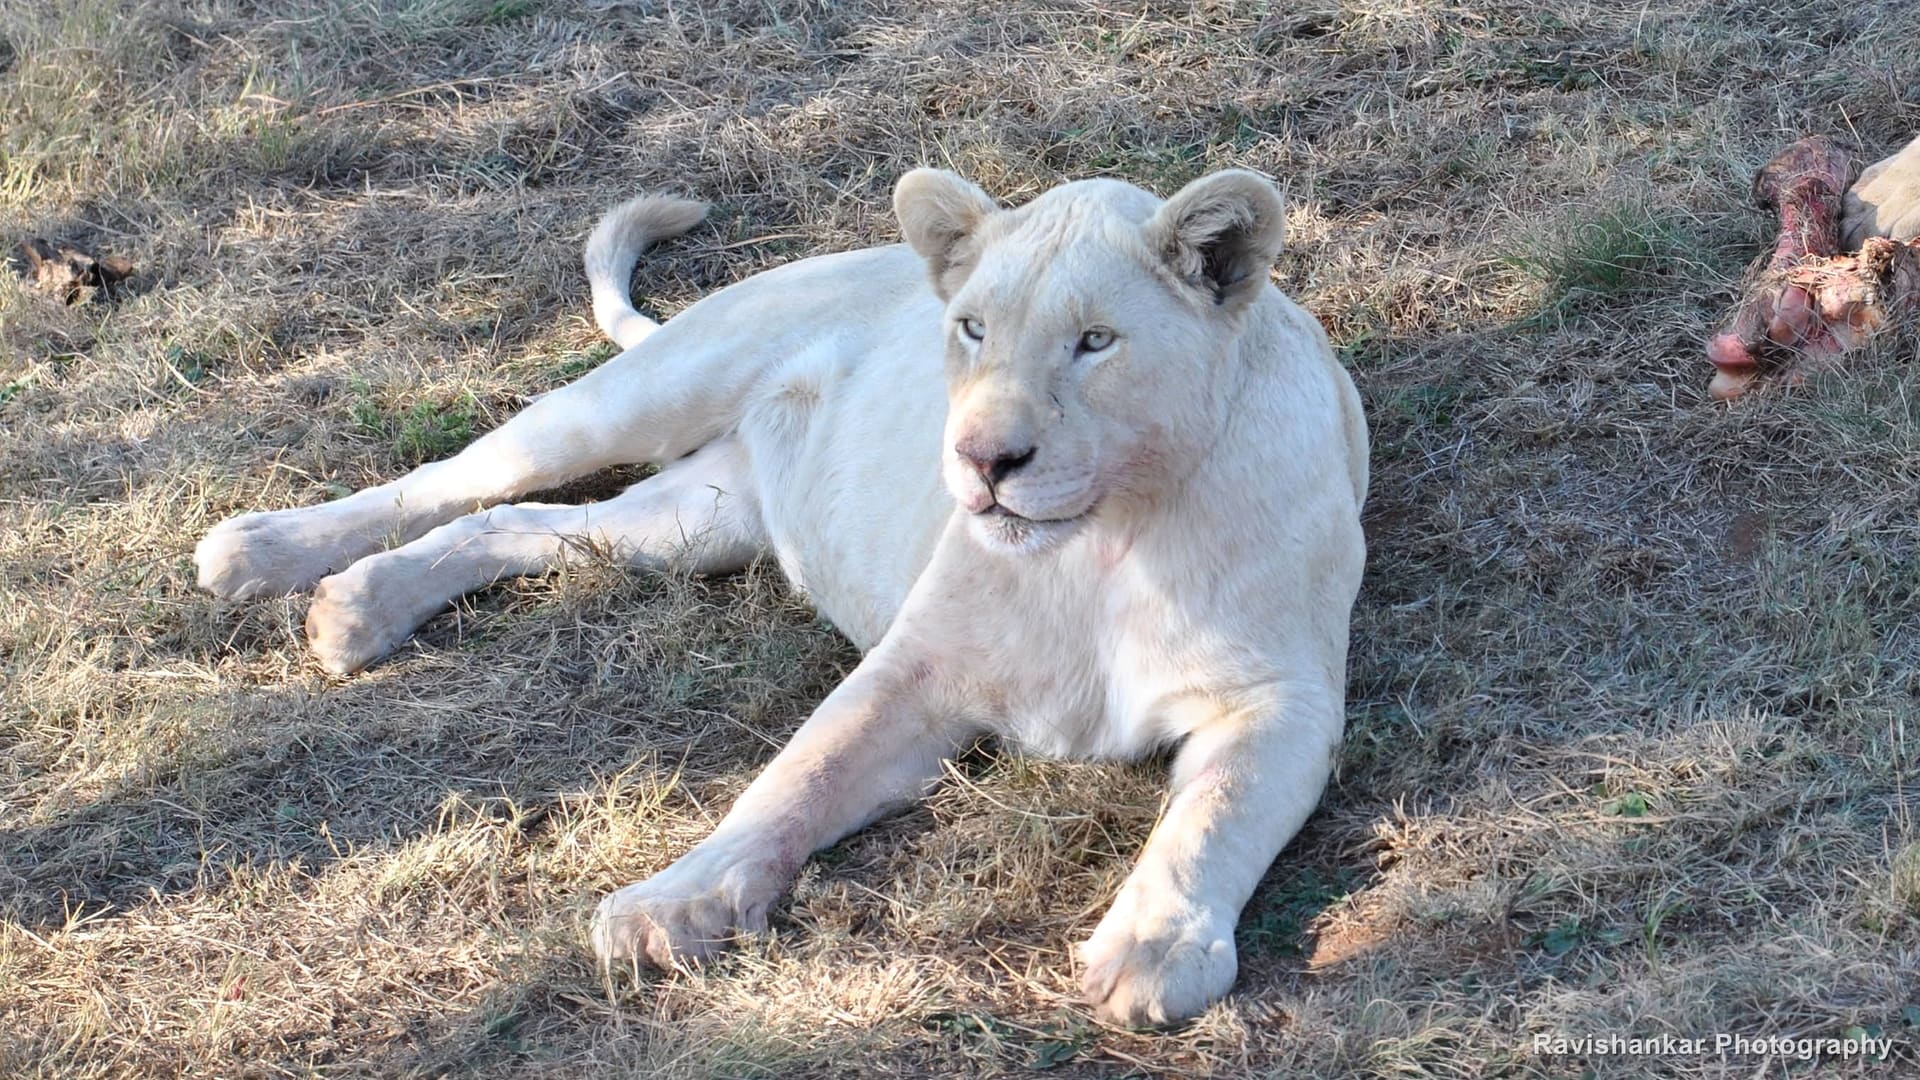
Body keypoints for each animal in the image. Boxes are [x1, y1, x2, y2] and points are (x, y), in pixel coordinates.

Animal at [194, 168, 1370, 1026]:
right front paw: (668, 908)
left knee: (515, 525)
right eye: (973, 330)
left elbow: (1211, 819)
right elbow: (797, 776)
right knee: (454, 478)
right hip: (637, 400)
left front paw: (1154, 952)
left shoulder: (1283, 698)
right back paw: (266, 552)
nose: (981, 459)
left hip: (693, 523)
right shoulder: (919, 666)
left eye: (1096, 341)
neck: (1102, 544)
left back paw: (358, 607)